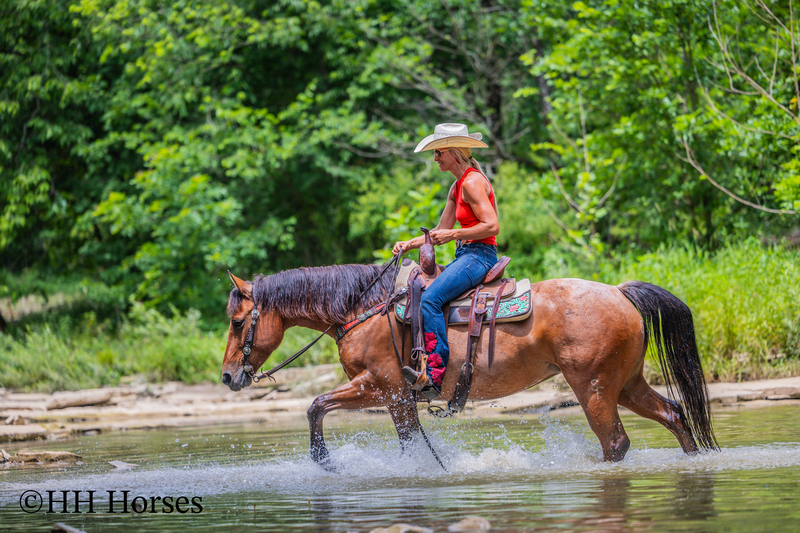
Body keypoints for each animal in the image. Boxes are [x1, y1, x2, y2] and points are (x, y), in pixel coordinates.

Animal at [221, 263, 717, 467]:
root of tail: (618, 291)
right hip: (626, 383)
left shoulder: (380, 386)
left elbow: (316, 405)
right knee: (675, 414)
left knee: (615, 442)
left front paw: (323, 461)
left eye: (237, 321)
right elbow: (408, 442)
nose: (227, 376)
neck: (364, 308)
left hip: (594, 388)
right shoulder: (399, 398)